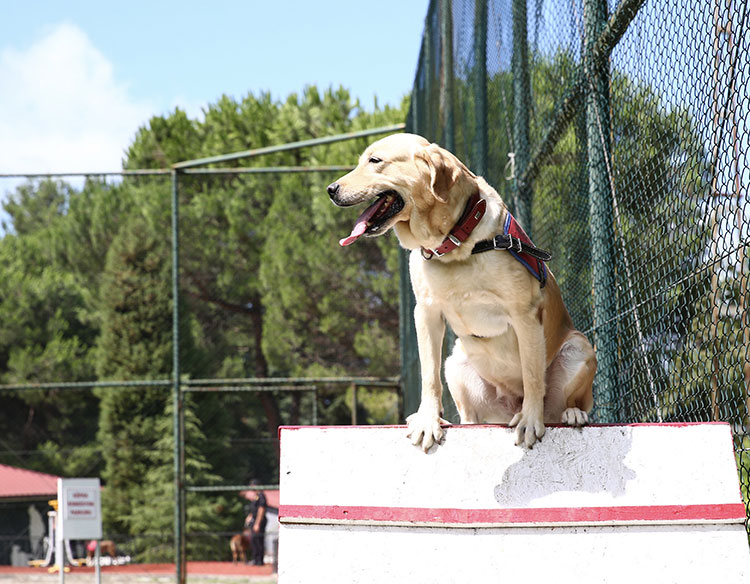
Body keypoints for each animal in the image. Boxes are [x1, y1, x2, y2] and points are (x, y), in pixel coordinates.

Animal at [328, 133, 600, 452]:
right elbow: (428, 375)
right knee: (469, 414)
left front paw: (531, 420)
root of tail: (510, 403)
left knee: (564, 404)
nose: (331, 190)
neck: (453, 242)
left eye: (375, 160)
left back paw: (570, 413)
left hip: (579, 347)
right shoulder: (426, 312)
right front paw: (428, 420)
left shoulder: (525, 314)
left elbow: (533, 376)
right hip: (456, 363)